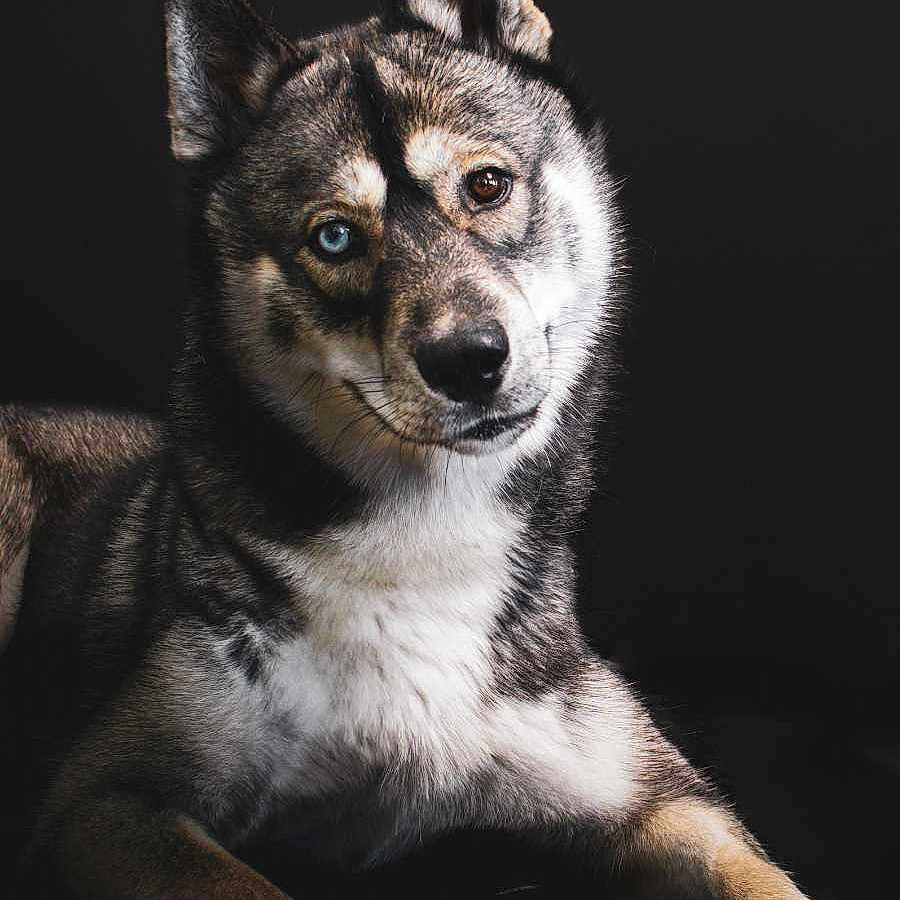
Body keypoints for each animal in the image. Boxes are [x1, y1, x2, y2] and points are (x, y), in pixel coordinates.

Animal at [0, 1, 809, 897]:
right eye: (335, 239)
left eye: (486, 184)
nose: (469, 360)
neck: (424, 533)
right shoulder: (107, 801)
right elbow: (241, 879)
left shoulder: (661, 800)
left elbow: (760, 875)